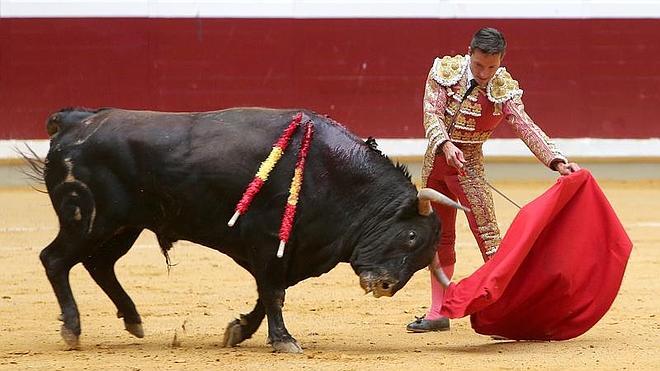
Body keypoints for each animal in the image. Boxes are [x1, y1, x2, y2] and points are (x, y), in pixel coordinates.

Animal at [36, 106, 464, 354]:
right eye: (411, 236)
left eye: (424, 259)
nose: (385, 285)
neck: (334, 176)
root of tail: (75, 122)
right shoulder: (269, 242)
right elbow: (273, 292)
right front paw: (284, 341)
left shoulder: (292, 251)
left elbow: (268, 293)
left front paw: (239, 330)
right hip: (89, 221)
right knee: (55, 259)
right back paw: (72, 329)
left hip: (123, 226)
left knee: (99, 265)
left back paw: (132, 319)